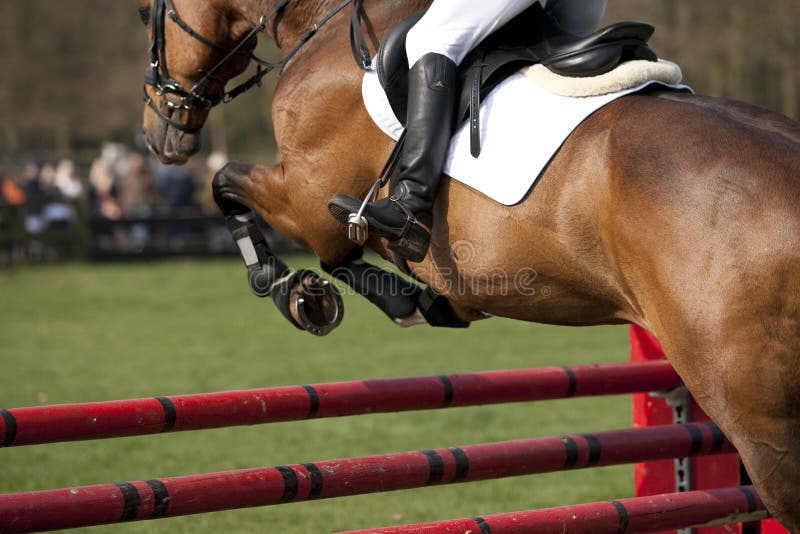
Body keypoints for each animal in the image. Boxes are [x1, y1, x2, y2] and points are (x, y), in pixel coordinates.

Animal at [141, 0, 800, 528]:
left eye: (147, 14)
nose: (159, 136)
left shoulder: (307, 197)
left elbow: (232, 188)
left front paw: (292, 289)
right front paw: (412, 301)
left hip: (758, 417)